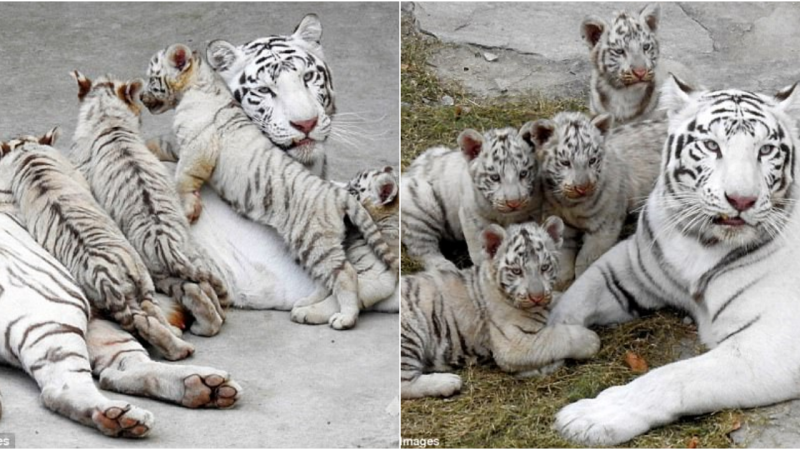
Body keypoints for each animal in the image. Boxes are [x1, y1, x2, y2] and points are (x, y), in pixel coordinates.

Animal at [142, 43, 398, 330]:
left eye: (152, 79)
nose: (140, 97)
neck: (198, 84)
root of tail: (337, 195)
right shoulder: (182, 140)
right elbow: (162, 143)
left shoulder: (200, 143)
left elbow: (185, 175)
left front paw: (187, 207)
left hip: (314, 240)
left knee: (346, 274)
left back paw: (344, 317)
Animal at [400, 218, 600, 398]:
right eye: (517, 271)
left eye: (544, 267)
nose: (537, 296)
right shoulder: (515, 342)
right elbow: (558, 337)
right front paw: (591, 341)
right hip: (410, 333)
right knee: (405, 383)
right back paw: (449, 382)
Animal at [404, 124, 540, 270]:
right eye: (495, 177)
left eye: (523, 174)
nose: (514, 203)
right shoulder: (472, 216)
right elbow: (480, 251)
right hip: (420, 205)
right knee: (421, 248)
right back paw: (445, 266)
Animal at [532, 111, 664, 284]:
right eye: (565, 163)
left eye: (592, 160)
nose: (583, 187)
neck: (570, 204)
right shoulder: (562, 225)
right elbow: (563, 255)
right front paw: (561, 280)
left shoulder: (603, 228)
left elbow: (585, 260)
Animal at [552, 75, 800, 444]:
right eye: (712, 146)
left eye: (766, 150)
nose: (742, 200)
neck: (703, 242)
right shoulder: (630, 264)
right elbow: (577, 294)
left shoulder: (776, 338)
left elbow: (675, 376)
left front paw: (594, 415)